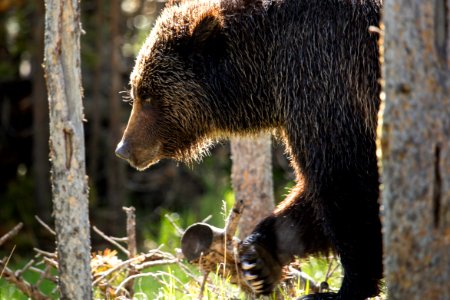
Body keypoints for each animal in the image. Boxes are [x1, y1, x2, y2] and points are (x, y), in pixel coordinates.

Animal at [116, 0, 384, 298]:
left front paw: (346, 286)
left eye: (147, 96)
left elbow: (344, 180)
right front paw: (259, 260)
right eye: (136, 91)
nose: (124, 148)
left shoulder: (326, 80)